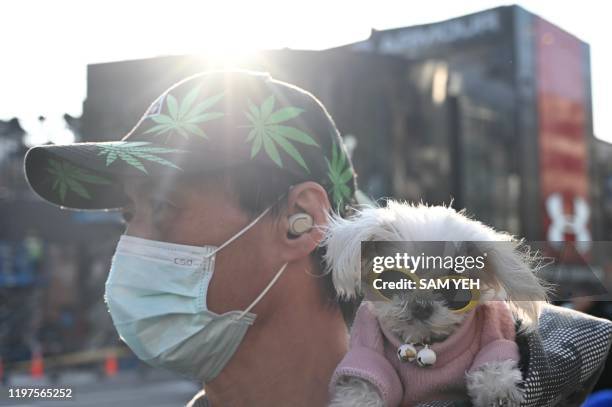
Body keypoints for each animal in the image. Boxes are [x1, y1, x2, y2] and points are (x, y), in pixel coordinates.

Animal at [322, 202, 548, 407]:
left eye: (453, 289)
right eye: (394, 280)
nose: (421, 306)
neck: (424, 344)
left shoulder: (494, 331)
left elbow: (492, 362)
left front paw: (499, 391)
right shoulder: (367, 348)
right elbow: (363, 386)